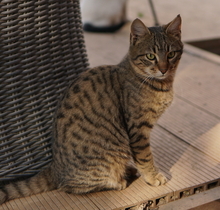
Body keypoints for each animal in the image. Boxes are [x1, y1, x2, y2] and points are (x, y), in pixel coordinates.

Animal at [0, 14, 183, 203]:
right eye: (150, 56)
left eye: (171, 54)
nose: (164, 69)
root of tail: (54, 168)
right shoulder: (138, 129)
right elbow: (145, 157)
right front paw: (153, 176)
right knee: (70, 187)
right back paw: (119, 181)